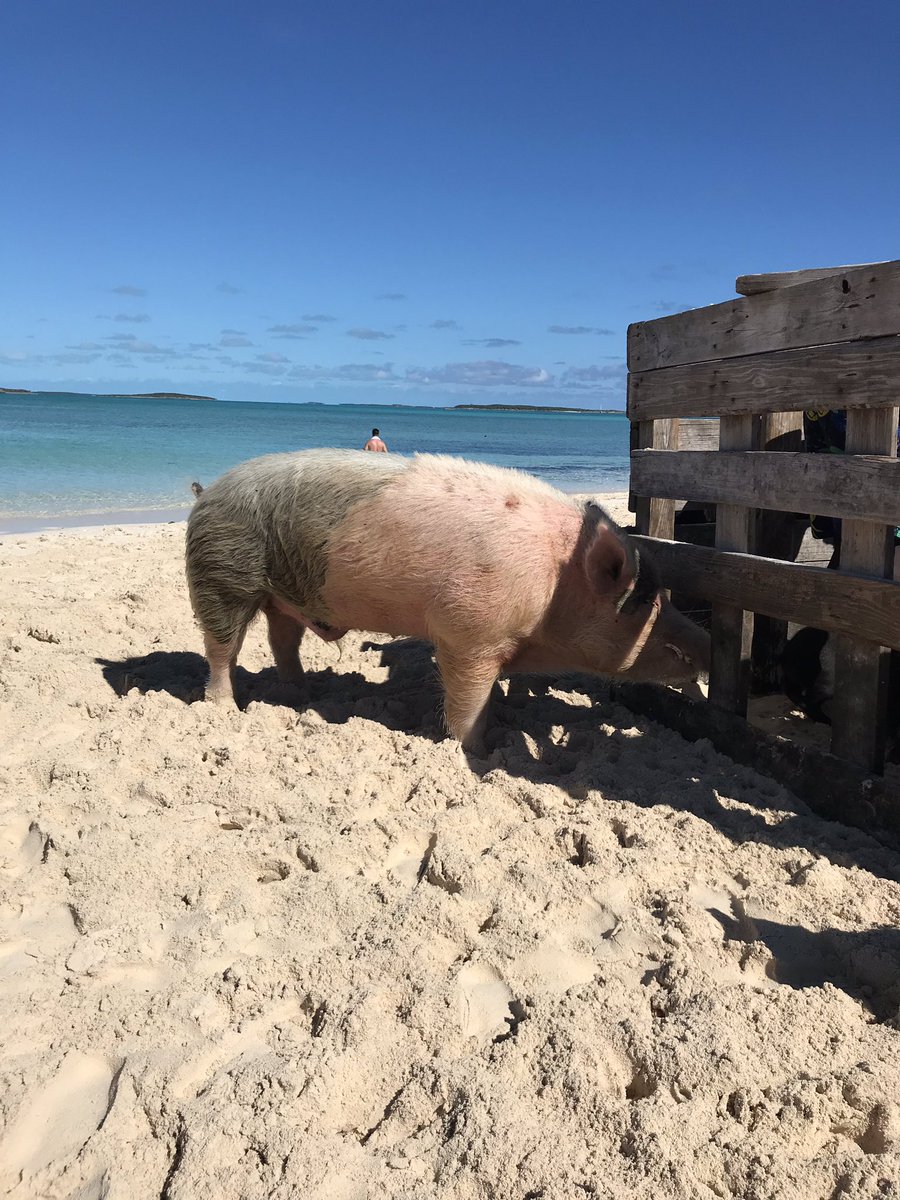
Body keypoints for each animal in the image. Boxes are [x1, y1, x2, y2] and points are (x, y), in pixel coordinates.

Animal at [185, 449, 710, 751]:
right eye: (644, 606)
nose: (705, 641)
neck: (552, 592)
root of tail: (206, 493)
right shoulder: (467, 631)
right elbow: (468, 702)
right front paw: (474, 751)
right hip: (222, 574)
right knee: (221, 648)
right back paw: (225, 709)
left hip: (282, 595)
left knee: (283, 641)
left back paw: (303, 695)